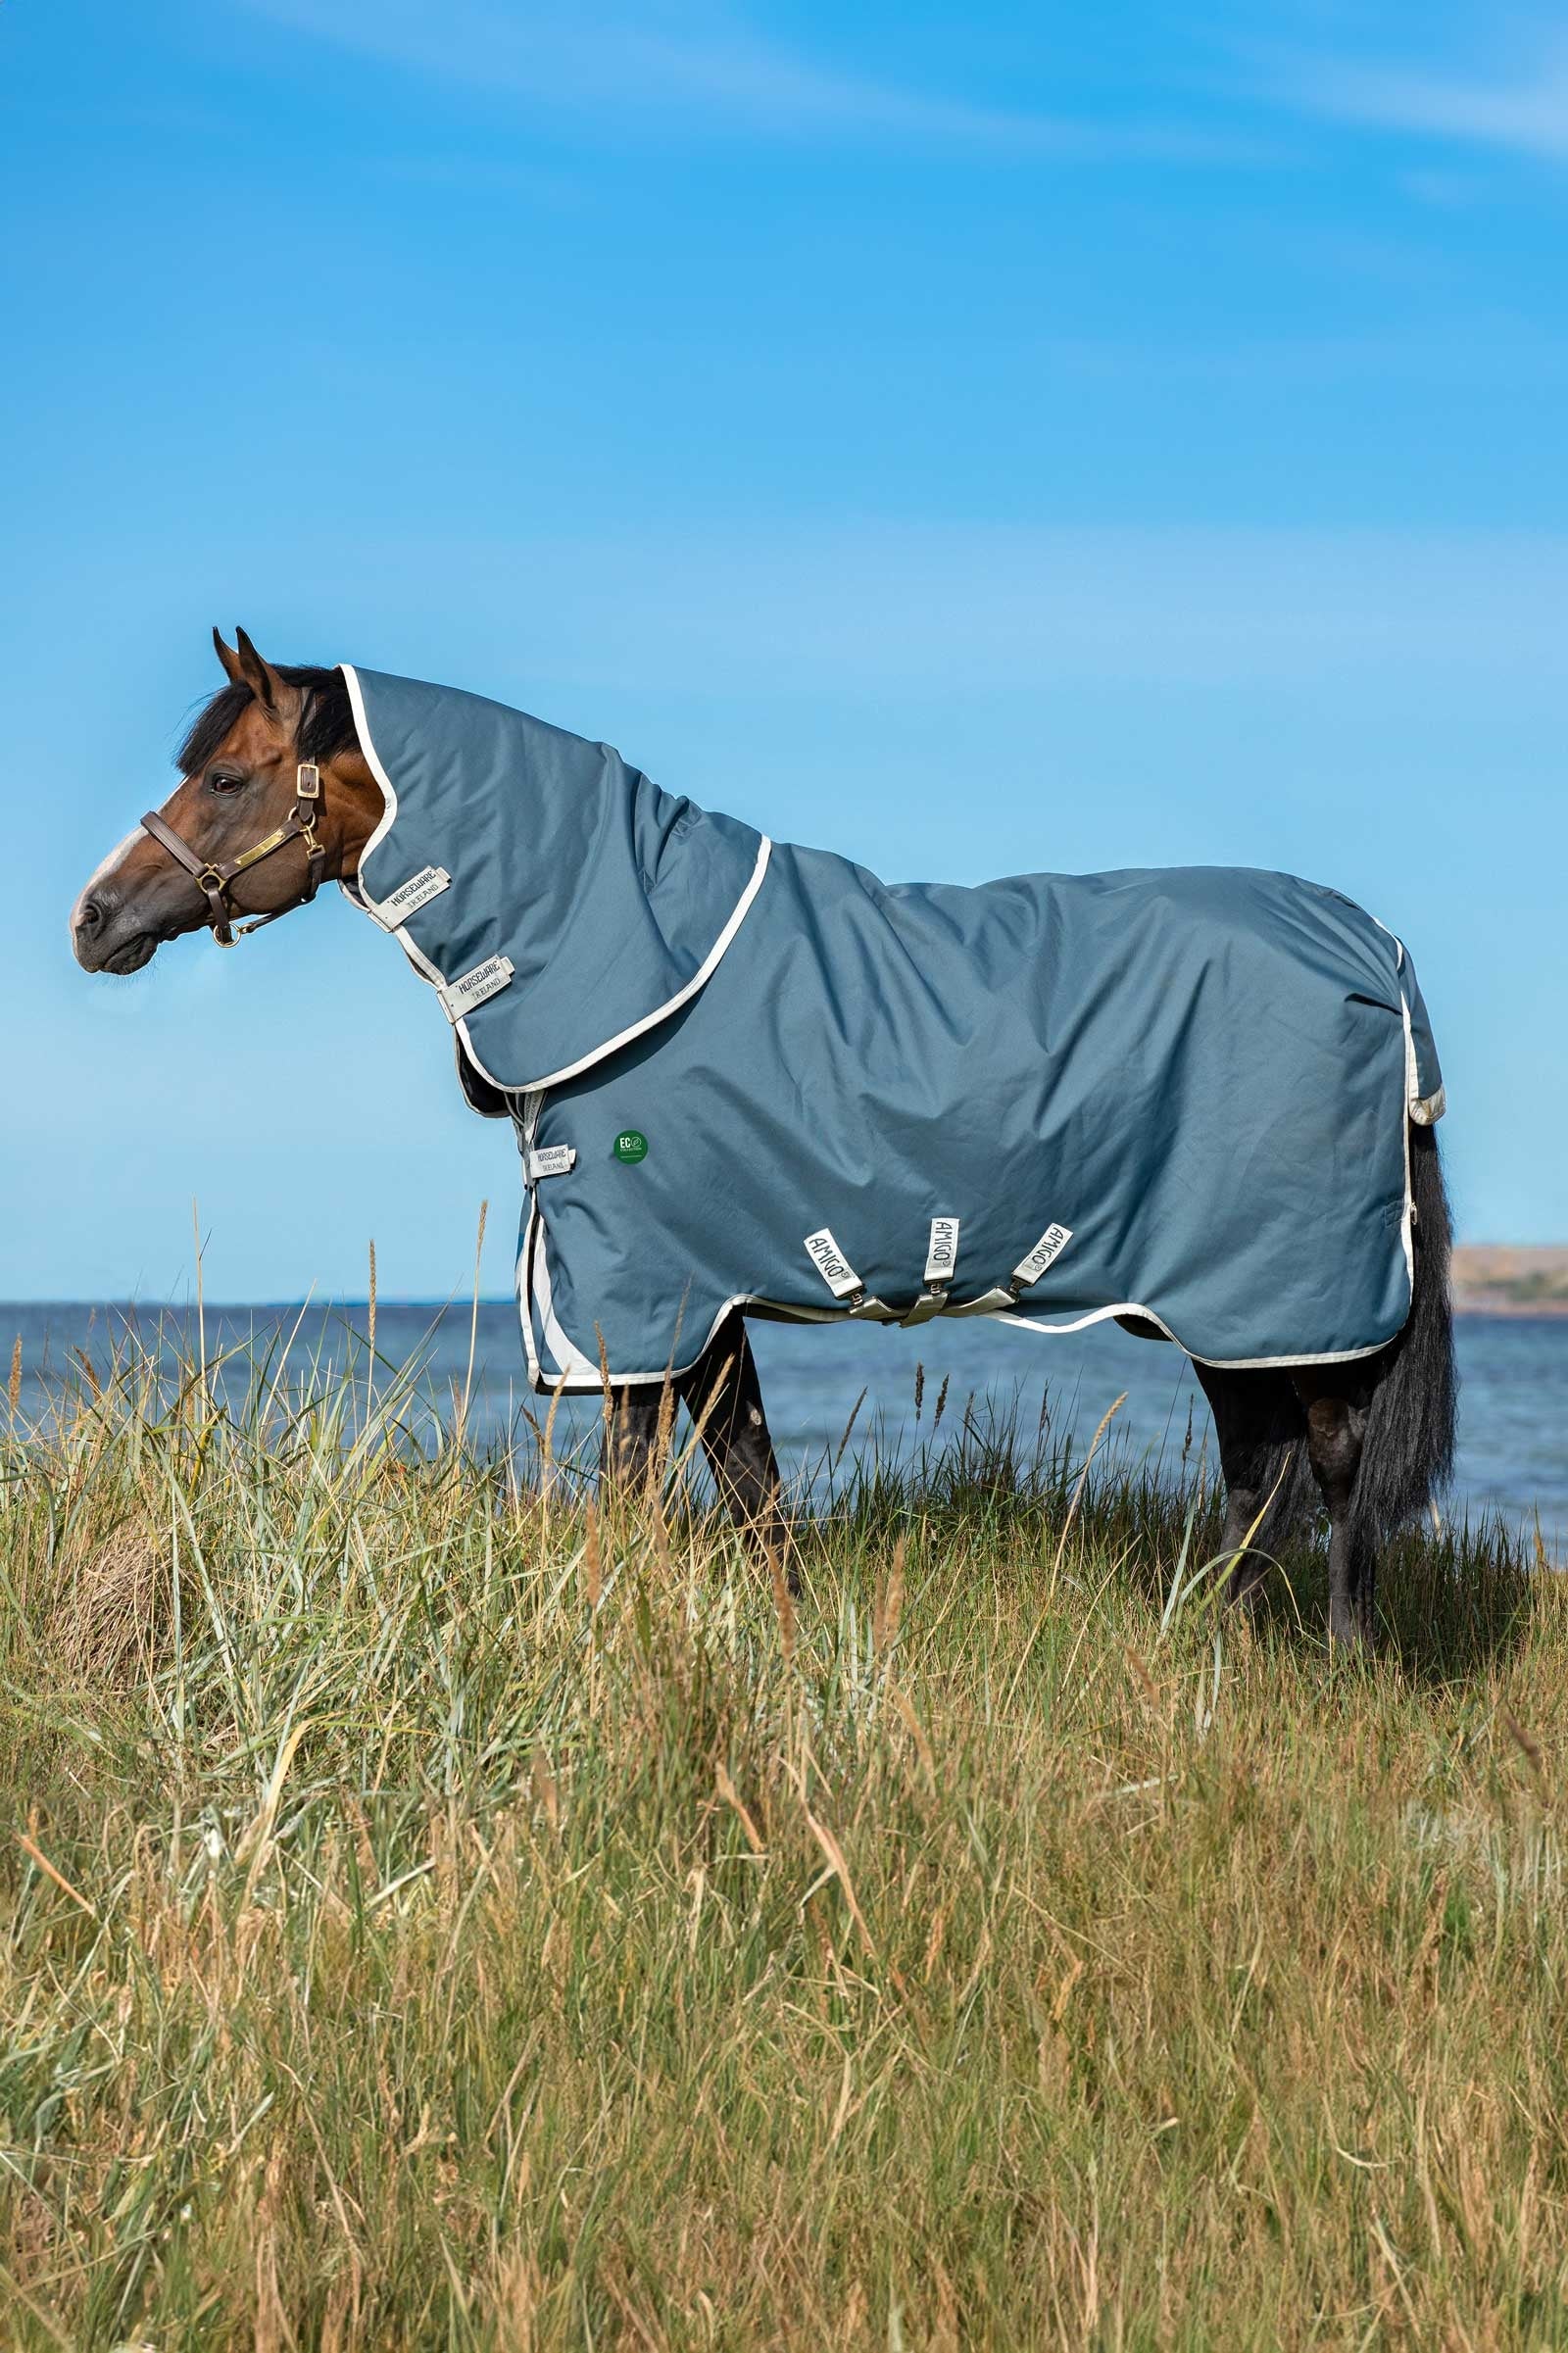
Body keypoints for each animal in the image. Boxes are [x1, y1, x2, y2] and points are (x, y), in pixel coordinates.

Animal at [72, 629, 1457, 1648]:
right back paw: (1204, 1644)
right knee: (1261, 1468)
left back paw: (1337, 1659)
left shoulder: (640, 1290)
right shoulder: (705, 1293)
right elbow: (752, 1488)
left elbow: (640, 1486)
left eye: (226, 777)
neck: (626, 957)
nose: (93, 918)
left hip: (1278, 1291)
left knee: (1329, 1462)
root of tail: (1370, 945)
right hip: (1227, 1307)